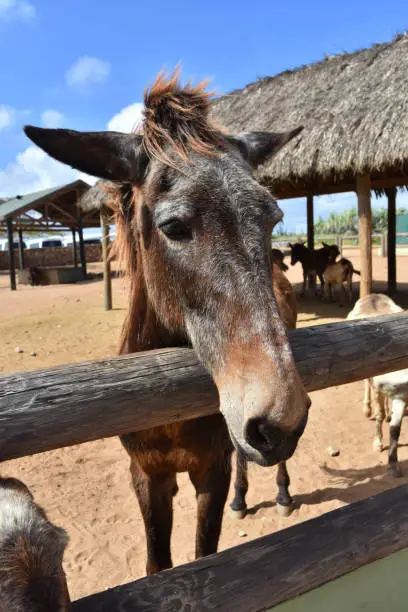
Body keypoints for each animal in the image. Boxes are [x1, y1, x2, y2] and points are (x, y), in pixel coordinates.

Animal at [23, 69, 310, 576]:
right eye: (173, 227)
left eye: (273, 218)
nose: (280, 421)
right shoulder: (148, 476)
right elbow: (158, 563)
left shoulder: (210, 472)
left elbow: (203, 552)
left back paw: (279, 492)